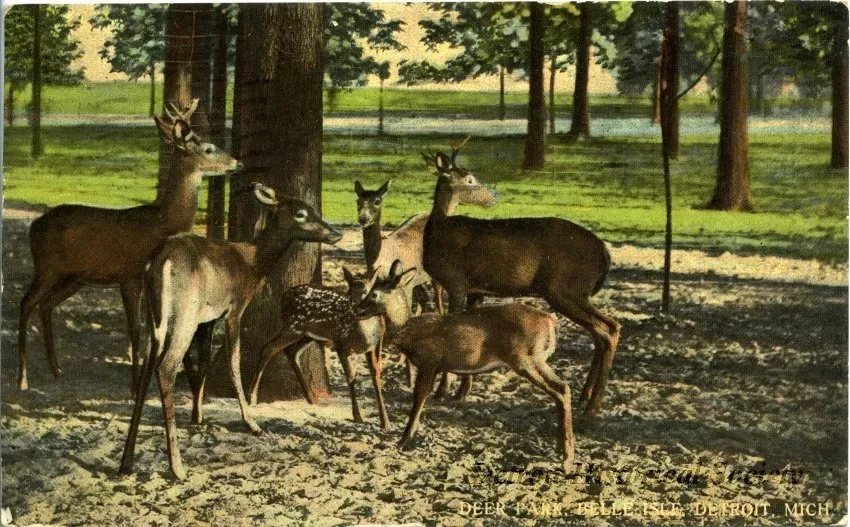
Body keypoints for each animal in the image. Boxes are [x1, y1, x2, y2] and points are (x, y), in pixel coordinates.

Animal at [16, 99, 240, 393]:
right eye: (209, 148)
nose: (238, 162)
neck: (162, 223)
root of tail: (34, 226)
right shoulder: (129, 276)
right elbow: (135, 330)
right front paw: (134, 387)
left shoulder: (147, 281)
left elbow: (152, 331)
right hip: (46, 267)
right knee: (26, 303)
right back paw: (23, 378)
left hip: (74, 277)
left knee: (45, 305)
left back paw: (56, 369)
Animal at [118, 183, 342, 480]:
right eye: (301, 213)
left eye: (314, 208)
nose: (336, 233)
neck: (252, 263)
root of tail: (161, 261)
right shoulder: (234, 309)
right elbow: (233, 361)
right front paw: (251, 422)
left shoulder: (207, 319)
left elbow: (203, 364)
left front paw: (198, 417)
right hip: (184, 314)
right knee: (165, 367)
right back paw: (177, 466)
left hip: (157, 316)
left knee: (147, 365)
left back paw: (127, 461)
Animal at [247, 260, 416, 432]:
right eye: (350, 292)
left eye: (369, 292)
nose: (357, 308)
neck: (363, 334)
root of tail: (283, 297)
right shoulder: (340, 343)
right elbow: (351, 377)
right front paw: (357, 416)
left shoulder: (375, 345)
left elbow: (376, 376)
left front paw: (385, 422)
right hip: (293, 326)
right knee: (268, 347)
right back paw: (252, 397)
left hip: (307, 334)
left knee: (290, 351)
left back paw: (311, 398)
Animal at [359, 273, 575, 472]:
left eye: (374, 293)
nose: (358, 309)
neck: (409, 332)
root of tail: (551, 322)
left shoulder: (429, 363)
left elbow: (419, 399)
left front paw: (403, 441)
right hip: (537, 360)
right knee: (564, 387)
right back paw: (562, 450)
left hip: (525, 359)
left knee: (559, 391)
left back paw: (566, 458)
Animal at [421, 139, 621, 415]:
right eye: (469, 179)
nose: (494, 196)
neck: (437, 232)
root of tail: (604, 252)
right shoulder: (475, 290)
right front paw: (461, 392)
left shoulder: (456, 282)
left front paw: (441, 392)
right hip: (573, 292)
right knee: (602, 331)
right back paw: (585, 398)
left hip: (563, 288)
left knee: (609, 329)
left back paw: (592, 406)